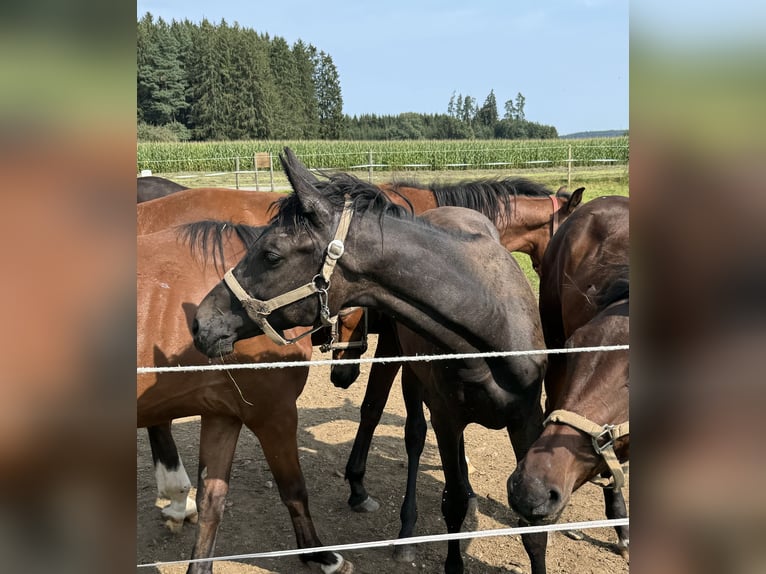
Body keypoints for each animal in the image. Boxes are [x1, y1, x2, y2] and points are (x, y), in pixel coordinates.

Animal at [138, 189, 354, 572]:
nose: (344, 376)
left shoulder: (222, 413)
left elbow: (212, 501)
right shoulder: (273, 413)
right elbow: (294, 489)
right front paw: (320, 554)